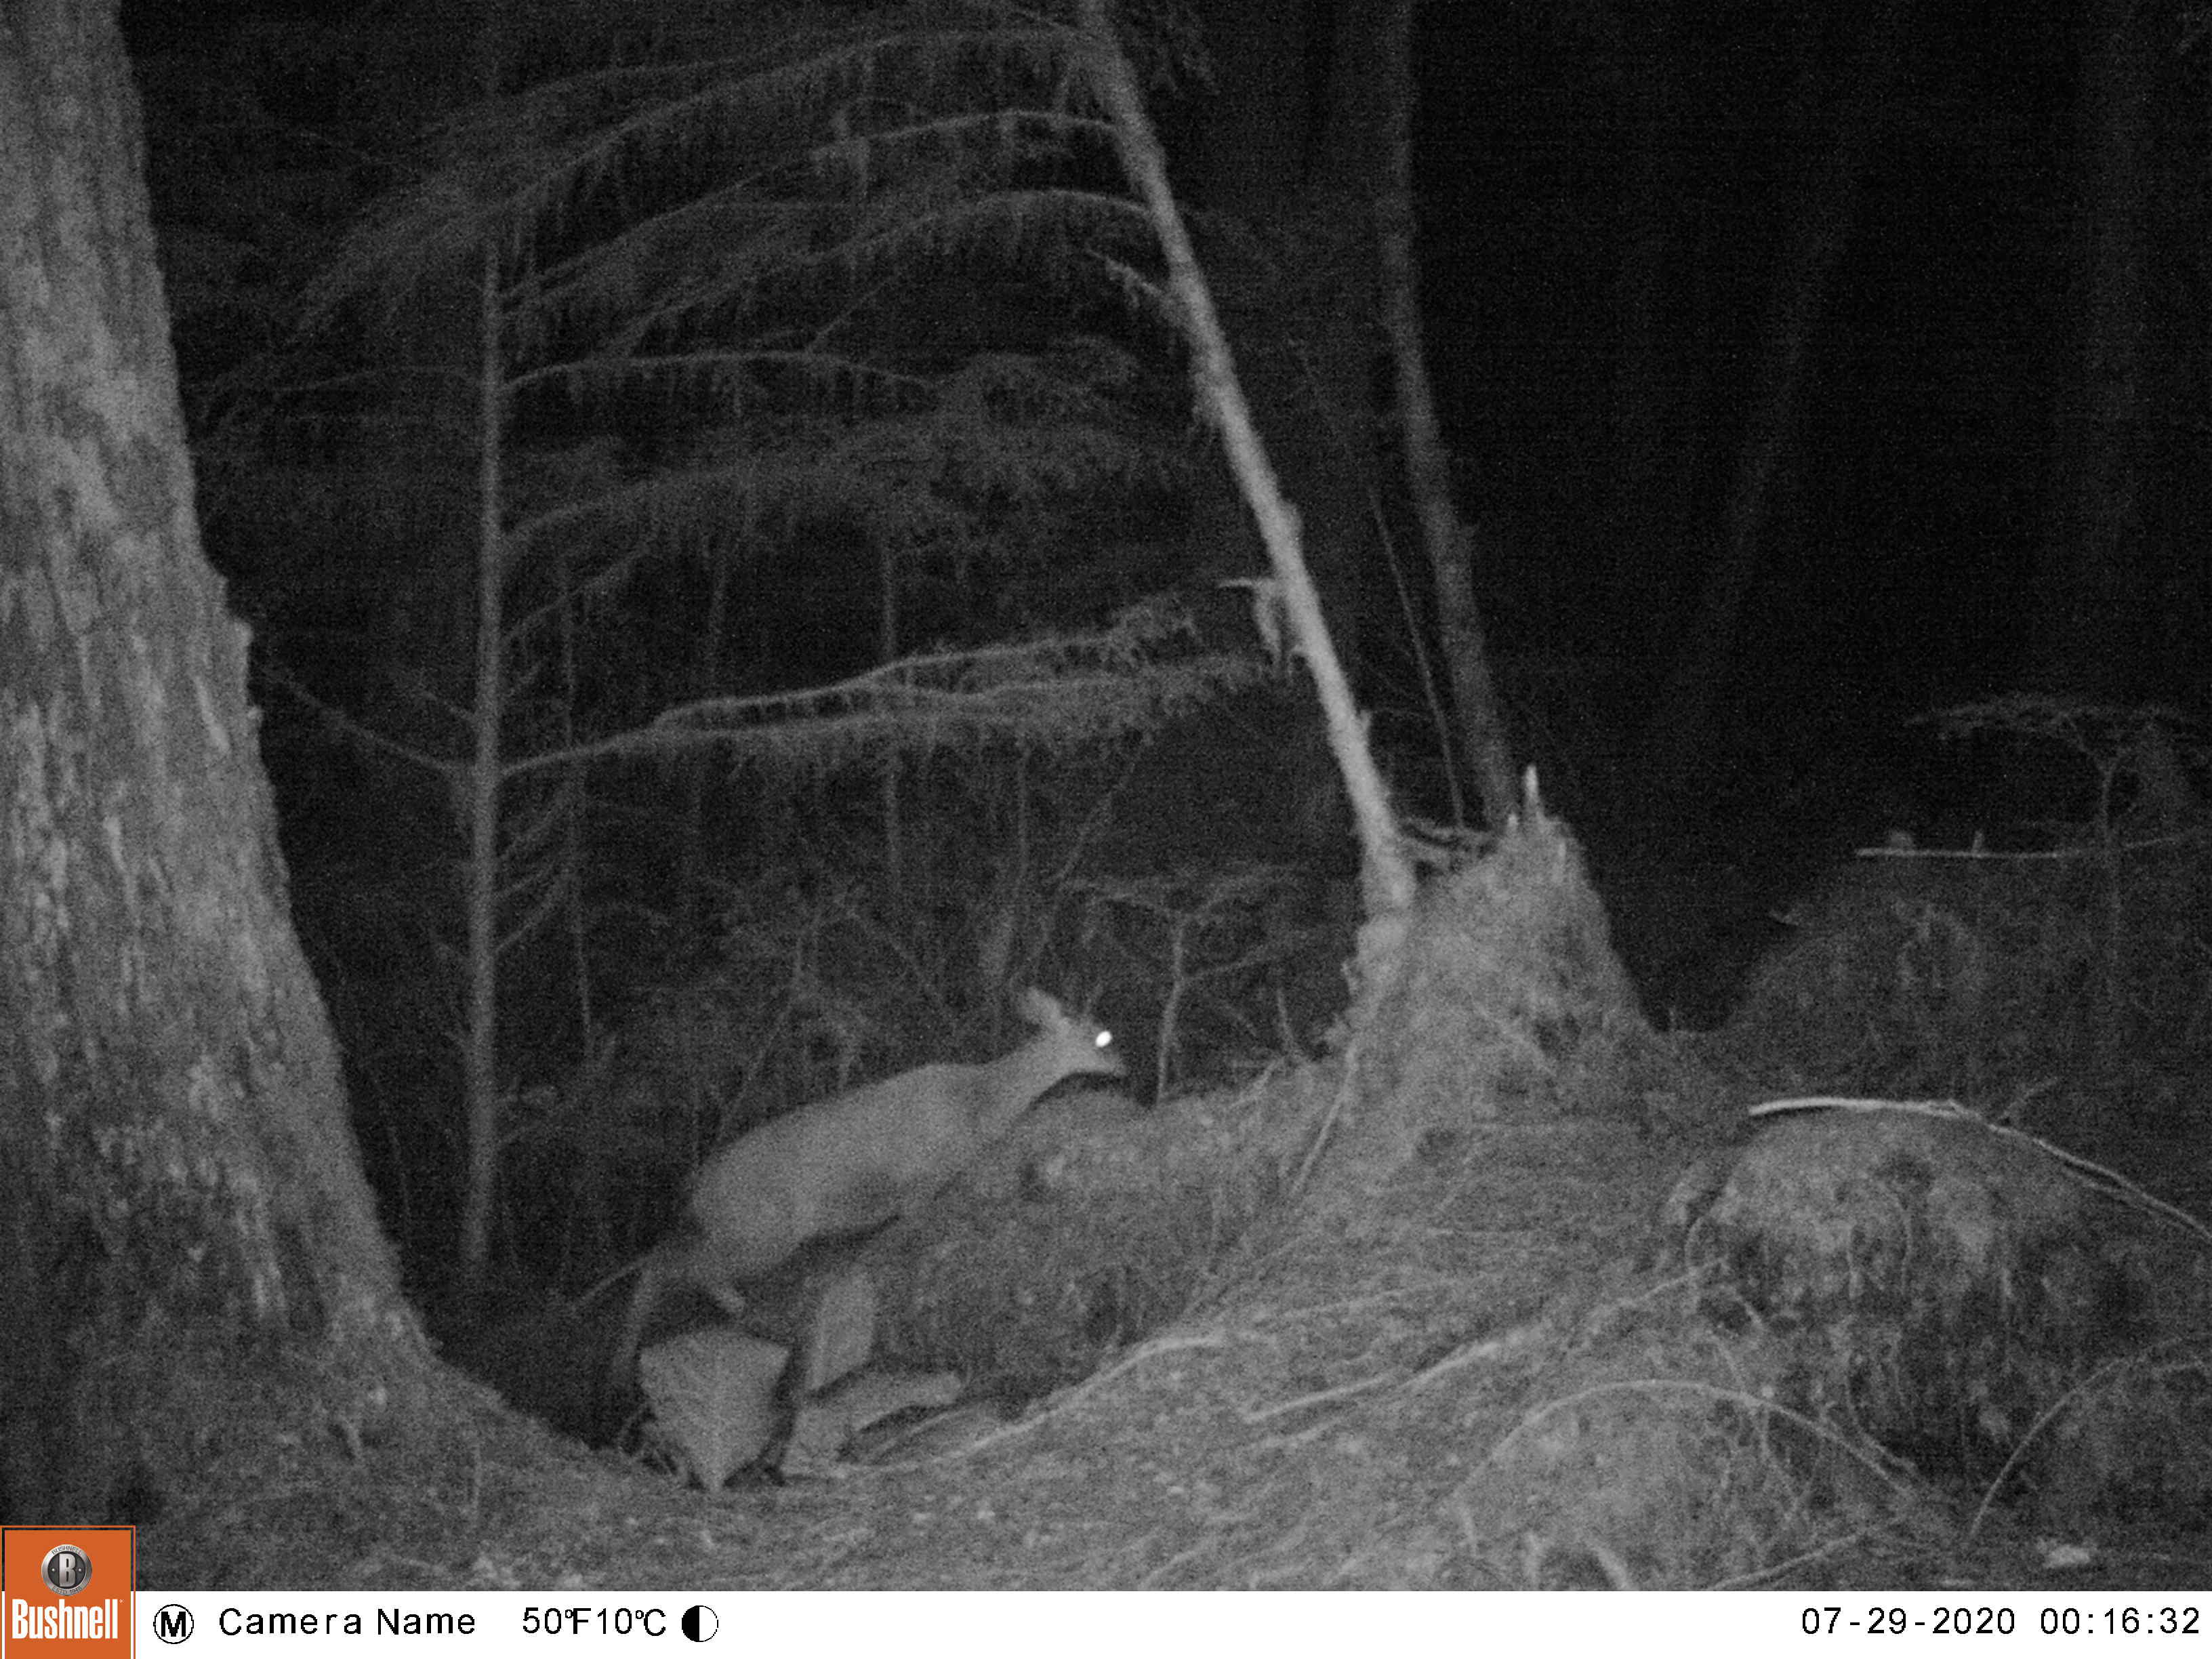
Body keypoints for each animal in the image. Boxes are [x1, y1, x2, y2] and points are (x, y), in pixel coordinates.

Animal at [603, 987, 1123, 1402]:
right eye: (1101, 1036)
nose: (1125, 1066)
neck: (981, 1104)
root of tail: (697, 1184)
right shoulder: (920, 1182)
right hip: (762, 1231)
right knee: (666, 1269)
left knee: (666, 1261)